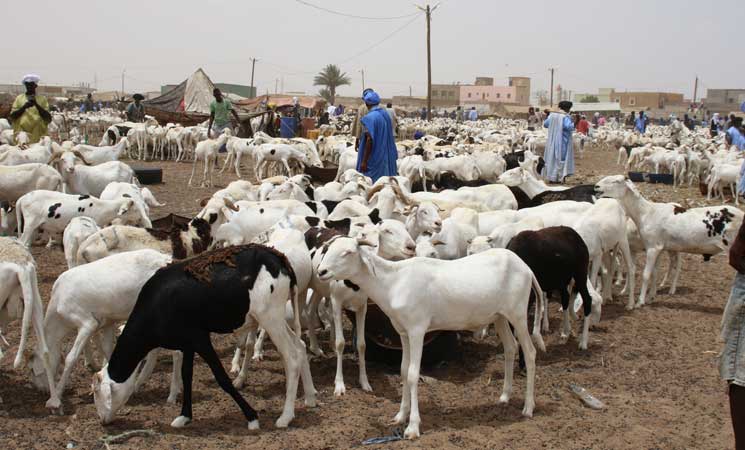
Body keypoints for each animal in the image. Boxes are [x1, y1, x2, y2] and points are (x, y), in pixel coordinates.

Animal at [15, 190, 145, 247]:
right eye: (135, 210)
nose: (141, 220)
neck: (102, 207)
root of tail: (21, 199)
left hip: (35, 227)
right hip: (30, 224)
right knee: (22, 242)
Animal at [28, 249, 173, 410]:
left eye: (32, 370)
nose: (40, 390)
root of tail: (165, 259)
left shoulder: (87, 323)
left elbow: (71, 358)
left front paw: (57, 395)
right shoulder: (108, 321)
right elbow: (107, 348)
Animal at [91, 245, 317, 430]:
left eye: (96, 393)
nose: (101, 420)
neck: (159, 304)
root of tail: (280, 259)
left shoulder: (200, 339)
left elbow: (222, 378)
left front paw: (252, 417)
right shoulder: (187, 343)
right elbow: (186, 376)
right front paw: (184, 417)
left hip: (270, 317)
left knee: (292, 357)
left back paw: (285, 417)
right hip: (275, 319)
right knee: (300, 346)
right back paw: (310, 398)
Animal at [317, 237, 545, 439]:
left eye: (348, 252)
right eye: (328, 250)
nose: (321, 271)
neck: (394, 282)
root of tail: (525, 267)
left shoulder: (417, 330)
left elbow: (412, 374)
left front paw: (412, 427)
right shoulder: (403, 332)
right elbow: (402, 371)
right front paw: (400, 416)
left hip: (518, 314)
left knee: (530, 352)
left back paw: (528, 407)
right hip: (499, 317)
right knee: (510, 347)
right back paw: (504, 397)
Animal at [595, 175, 744, 306]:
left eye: (616, 181)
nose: (596, 187)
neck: (645, 212)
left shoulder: (652, 247)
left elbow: (646, 274)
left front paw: (640, 301)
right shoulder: (659, 248)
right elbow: (654, 273)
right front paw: (651, 297)